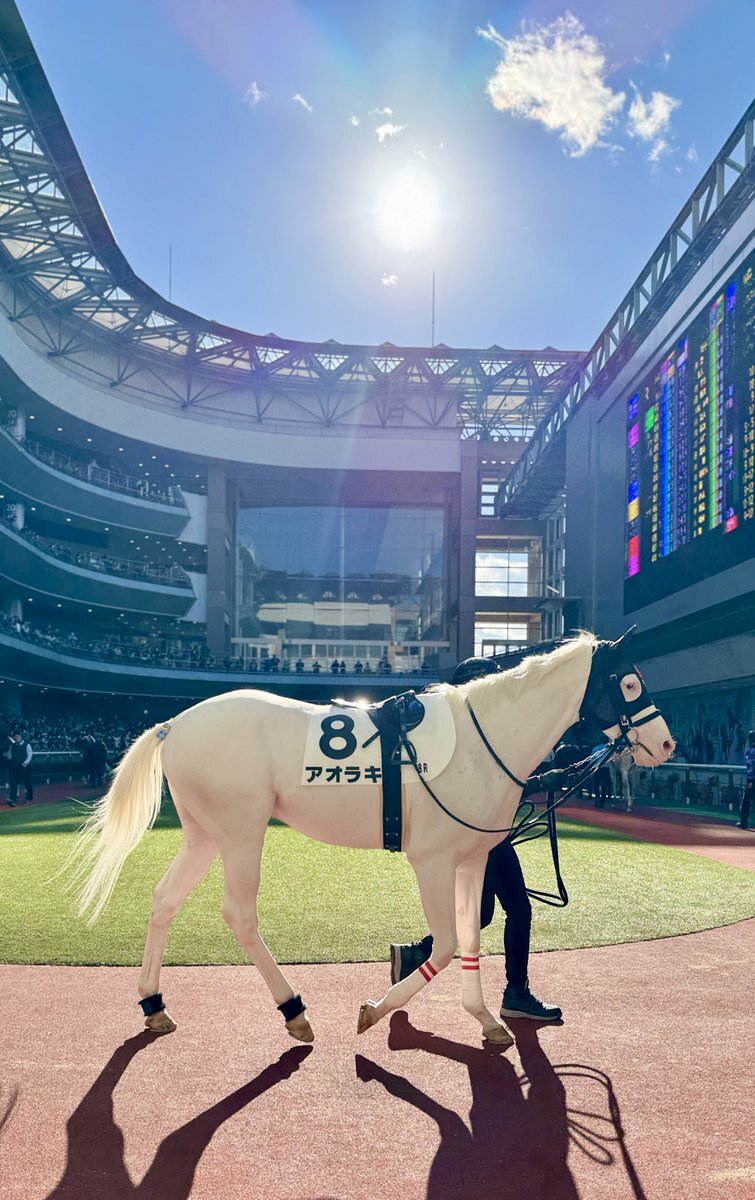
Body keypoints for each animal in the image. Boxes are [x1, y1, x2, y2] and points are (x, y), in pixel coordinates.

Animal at [71, 630, 674, 1047]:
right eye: (628, 683)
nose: (667, 744)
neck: (486, 741)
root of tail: (172, 725)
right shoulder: (431, 860)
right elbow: (447, 944)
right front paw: (375, 1011)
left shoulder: (472, 859)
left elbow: (472, 938)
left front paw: (485, 1019)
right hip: (241, 831)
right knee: (240, 914)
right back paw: (294, 1011)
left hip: (205, 834)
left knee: (164, 900)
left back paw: (153, 1004)